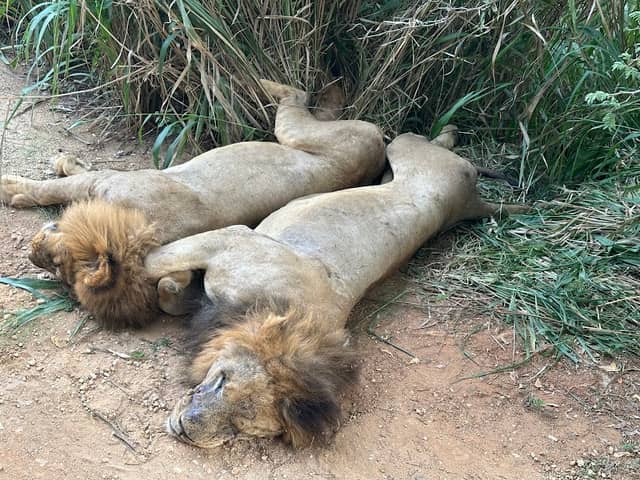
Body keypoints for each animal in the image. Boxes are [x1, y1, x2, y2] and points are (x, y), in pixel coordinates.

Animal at [7, 80, 385, 328]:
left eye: (57, 267)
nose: (31, 252)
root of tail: (381, 149)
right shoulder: (106, 181)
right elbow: (71, 179)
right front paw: (62, 164)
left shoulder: (108, 182)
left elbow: (54, 189)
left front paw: (10, 189)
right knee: (317, 105)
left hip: (305, 133)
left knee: (296, 98)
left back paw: (269, 85)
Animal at [121, 130, 527, 448]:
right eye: (222, 383)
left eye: (241, 427)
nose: (186, 430)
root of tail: (473, 196)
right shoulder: (230, 238)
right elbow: (155, 263)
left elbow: (169, 293)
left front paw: (171, 285)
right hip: (406, 151)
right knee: (427, 141)